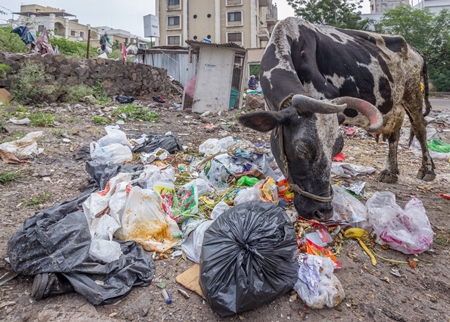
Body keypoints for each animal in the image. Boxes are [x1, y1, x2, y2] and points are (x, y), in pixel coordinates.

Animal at [239, 17, 436, 221]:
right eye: (301, 149)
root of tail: (414, 49)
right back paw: (390, 172)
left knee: (420, 127)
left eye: (337, 149)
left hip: (412, 92)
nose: (323, 211)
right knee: (394, 133)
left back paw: (427, 169)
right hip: (395, 104)